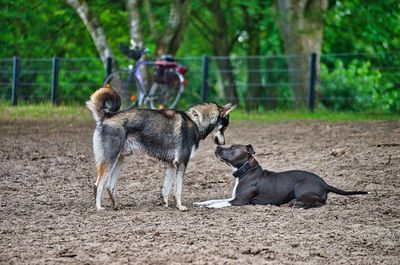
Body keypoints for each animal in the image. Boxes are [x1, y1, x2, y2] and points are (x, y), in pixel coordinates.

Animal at [85, 87, 234, 210]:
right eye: (224, 127)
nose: (224, 142)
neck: (196, 121)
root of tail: (106, 117)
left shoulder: (171, 165)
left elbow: (166, 189)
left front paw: (166, 204)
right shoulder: (182, 163)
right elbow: (178, 189)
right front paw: (180, 206)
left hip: (119, 160)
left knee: (110, 186)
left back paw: (116, 206)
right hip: (109, 160)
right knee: (98, 185)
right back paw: (99, 207)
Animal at [192, 144, 368, 208]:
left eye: (232, 148)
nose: (217, 147)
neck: (247, 170)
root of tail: (325, 184)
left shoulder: (239, 201)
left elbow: (222, 203)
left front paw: (211, 207)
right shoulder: (234, 197)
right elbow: (215, 199)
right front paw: (201, 203)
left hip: (300, 188)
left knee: (320, 204)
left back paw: (300, 205)